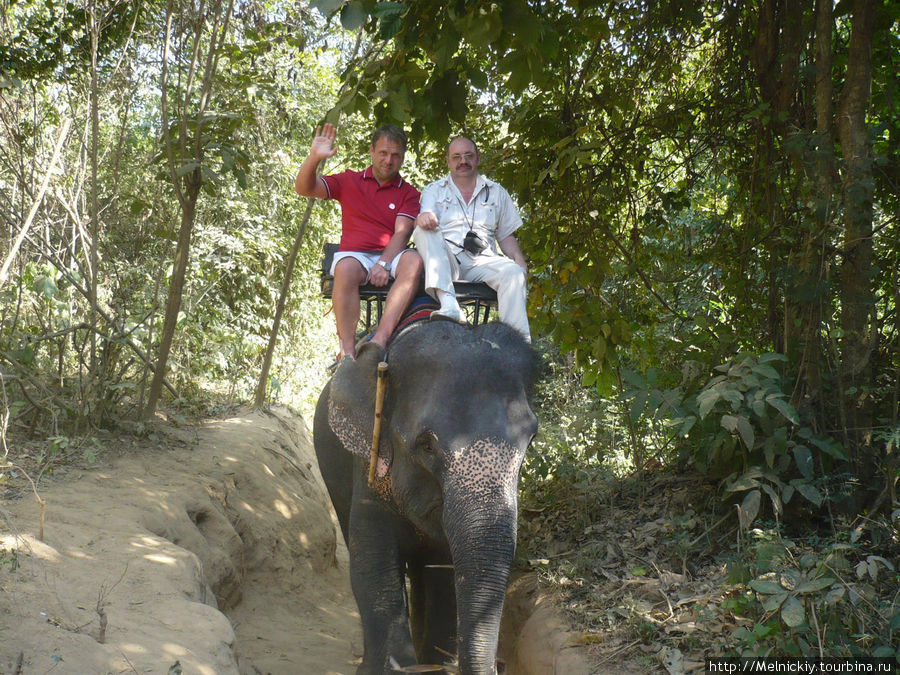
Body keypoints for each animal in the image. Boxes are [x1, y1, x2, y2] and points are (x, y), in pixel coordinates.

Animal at [312, 318, 536, 675]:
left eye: (531, 439)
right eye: (426, 445)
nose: (499, 664)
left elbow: (444, 574)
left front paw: (436, 663)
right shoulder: (369, 467)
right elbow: (371, 566)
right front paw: (393, 667)